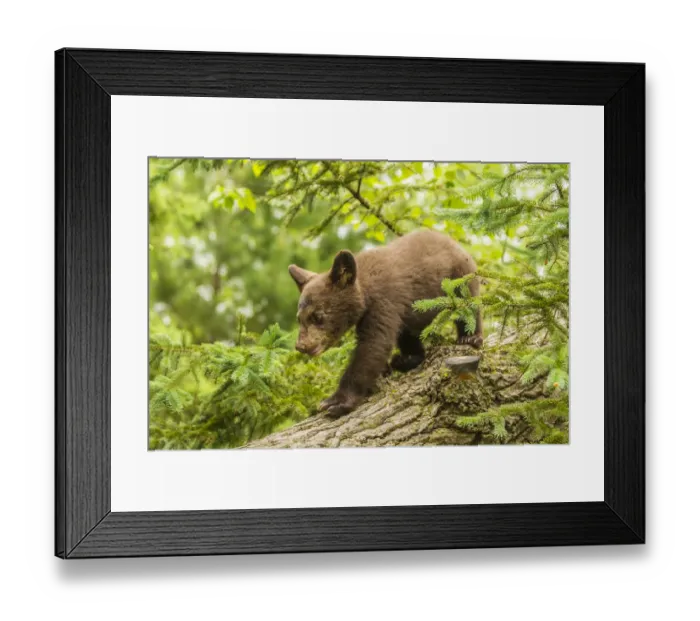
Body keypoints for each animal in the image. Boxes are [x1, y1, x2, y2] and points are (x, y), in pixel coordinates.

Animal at [288, 229, 483, 418]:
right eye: (299, 318)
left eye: (317, 316)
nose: (301, 346)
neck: (365, 289)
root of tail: (453, 242)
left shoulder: (384, 301)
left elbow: (373, 345)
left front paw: (336, 402)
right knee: (408, 333)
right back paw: (404, 359)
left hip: (459, 276)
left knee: (467, 306)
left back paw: (470, 337)